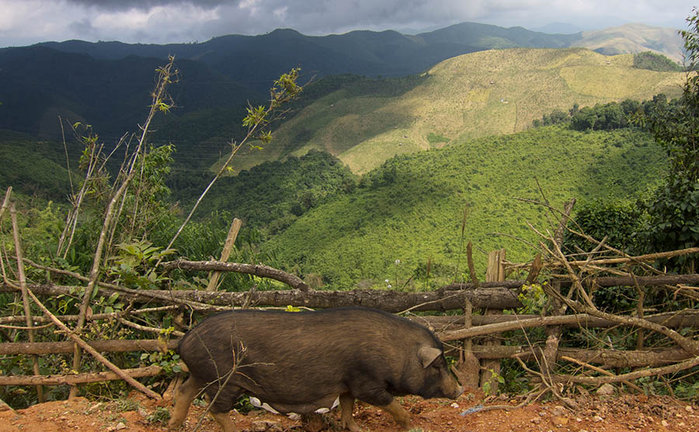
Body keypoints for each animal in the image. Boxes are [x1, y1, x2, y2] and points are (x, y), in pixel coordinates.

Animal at [168, 306, 464, 430]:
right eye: (439, 365)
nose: (460, 390)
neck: (396, 352)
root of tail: (185, 340)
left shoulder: (348, 382)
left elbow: (347, 406)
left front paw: (356, 429)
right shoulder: (367, 383)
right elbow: (390, 404)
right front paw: (411, 425)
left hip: (202, 374)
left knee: (184, 391)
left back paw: (174, 425)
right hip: (224, 379)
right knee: (215, 408)